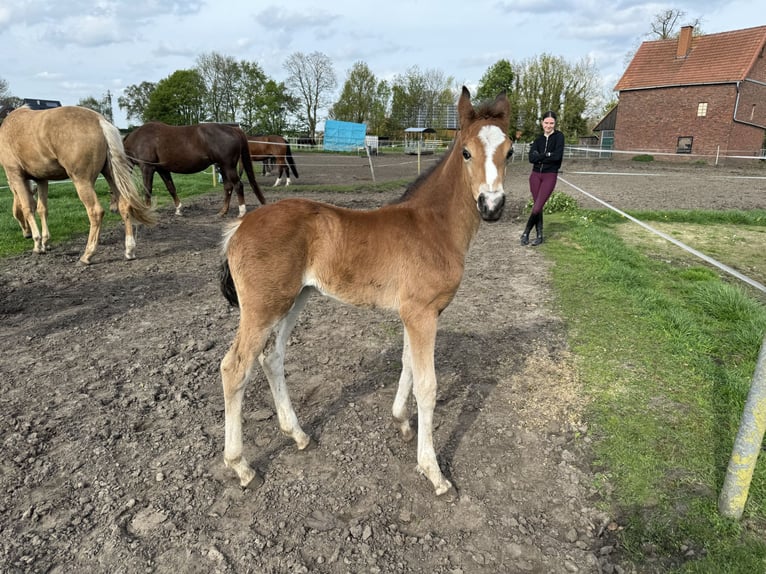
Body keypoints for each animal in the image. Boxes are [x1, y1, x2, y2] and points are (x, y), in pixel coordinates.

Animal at [0, 106, 157, 266]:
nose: (26, 235)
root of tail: (99, 121)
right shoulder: (42, 179)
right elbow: (42, 209)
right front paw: (45, 242)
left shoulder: (16, 176)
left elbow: (27, 208)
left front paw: (37, 245)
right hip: (111, 174)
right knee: (124, 205)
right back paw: (129, 250)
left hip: (82, 181)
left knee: (95, 212)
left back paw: (87, 255)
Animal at [124, 122, 268, 217]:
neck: (139, 139)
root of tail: (234, 130)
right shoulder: (162, 169)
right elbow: (171, 188)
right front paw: (178, 209)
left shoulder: (147, 168)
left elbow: (147, 189)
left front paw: (147, 211)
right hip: (222, 167)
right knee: (228, 187)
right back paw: (222, 212)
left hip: (228, 166)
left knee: (238, 185)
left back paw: (242, 212)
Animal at [219, 89, 512, 500]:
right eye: (467, 152)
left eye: (511, 151)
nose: (492, 206)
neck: (433, 226)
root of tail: (240, 225)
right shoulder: (421, 313)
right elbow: (427, 385)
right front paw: (434, 472)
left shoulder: (416, 313)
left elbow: (407, 364)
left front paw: (401, 421)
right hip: (262, 307)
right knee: (234, 367)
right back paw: (242, 467)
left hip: (294, 299)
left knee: (271, 357)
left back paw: (298, 435)